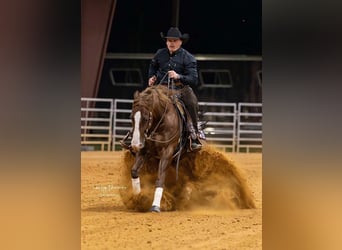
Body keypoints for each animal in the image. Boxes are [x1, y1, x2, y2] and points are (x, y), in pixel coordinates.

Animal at [128, 84, 188, 213]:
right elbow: (134, 171)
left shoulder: (167, 152)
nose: (135, 144)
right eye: (131, 117)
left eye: (146, 118)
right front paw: (138, 198)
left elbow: (160, 179)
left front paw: (155, 206)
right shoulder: (143, 149)